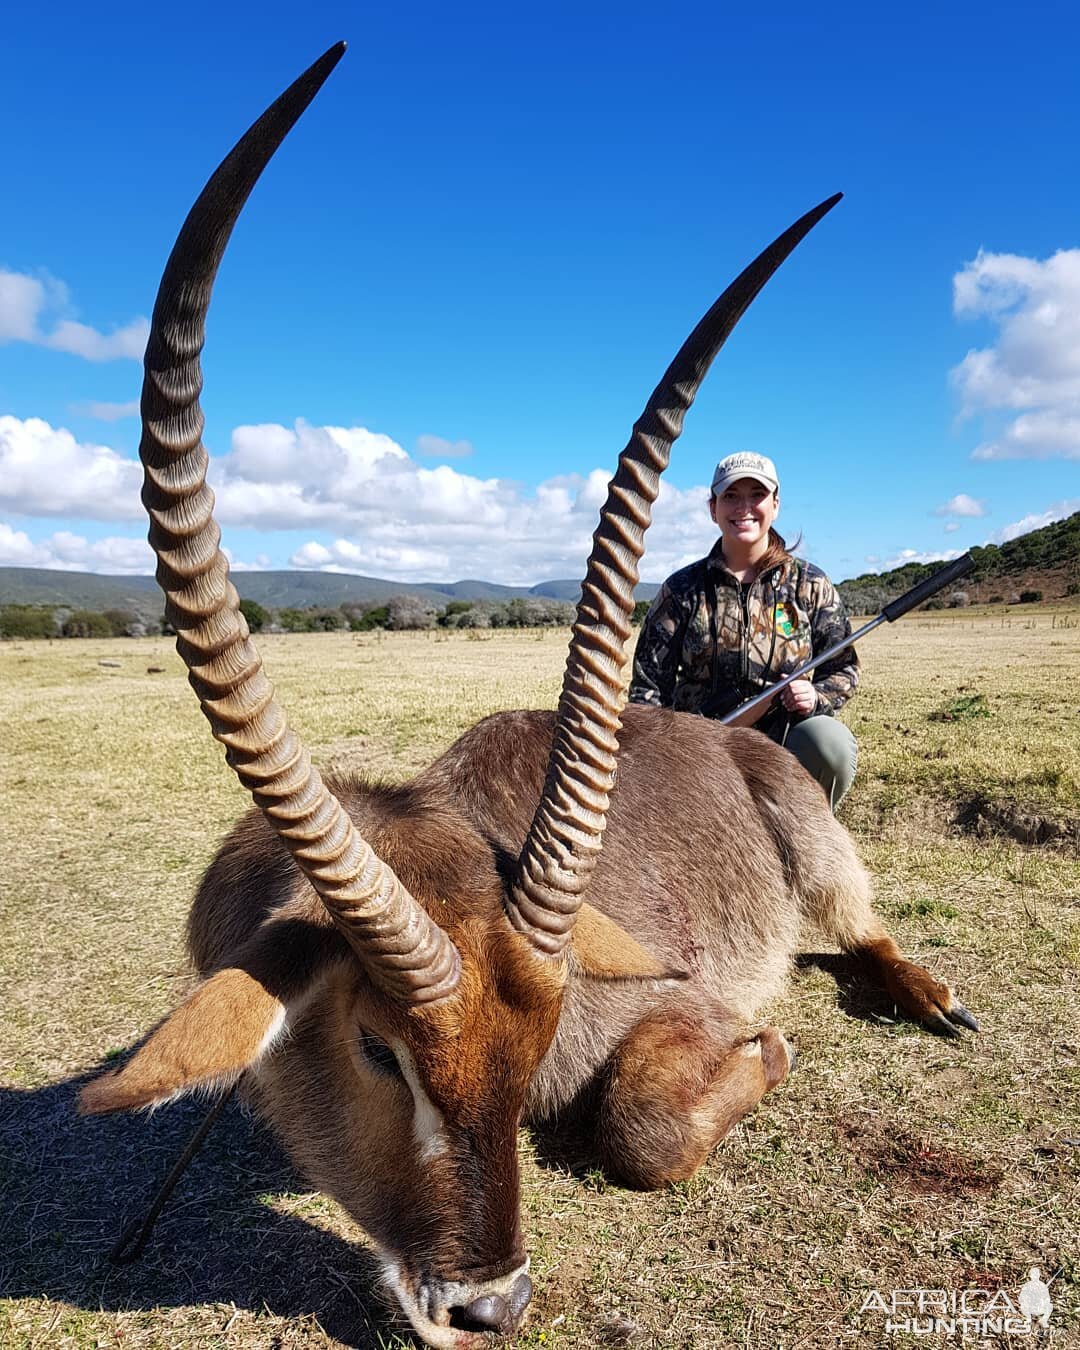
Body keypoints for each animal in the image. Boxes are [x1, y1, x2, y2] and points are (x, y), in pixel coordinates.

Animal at [80, 44, 977, 1350]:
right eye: (377, 1050)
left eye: (542, 1036)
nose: (490, 1303)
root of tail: (740, 747)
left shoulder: (673, 1018)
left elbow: (642, 1125)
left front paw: (772, 1053)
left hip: (825, 862)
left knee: (865, 935)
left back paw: (935, 1000)